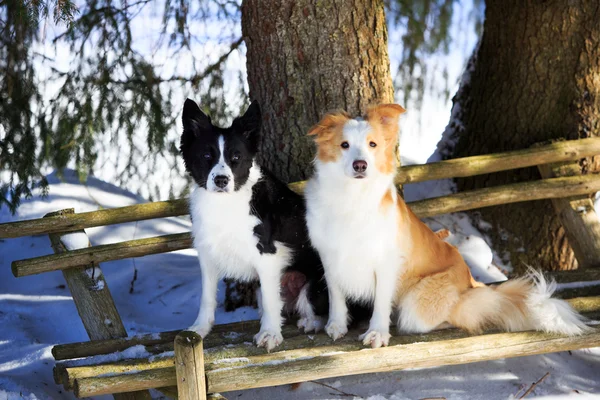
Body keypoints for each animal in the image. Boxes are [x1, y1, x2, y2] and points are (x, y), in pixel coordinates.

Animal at [179, 99, 328, 350]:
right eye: (207, 155)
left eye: (236, 157)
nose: (221, 180)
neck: (225, 203)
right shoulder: (208, 253)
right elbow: (207, 296)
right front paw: (200, 329)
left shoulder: (267, 255)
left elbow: (269, 301)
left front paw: (269, 334)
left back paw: (311, 322)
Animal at [308, 104, 588, 348]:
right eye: (344, 145)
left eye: (372, 144)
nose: (360, 165)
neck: (351, 197)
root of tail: (471, 282)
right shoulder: (330, 257)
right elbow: (336, 295)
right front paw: (336, 325)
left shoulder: (386, 263)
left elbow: (380, 303)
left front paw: (377, 333)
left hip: (418, 305)